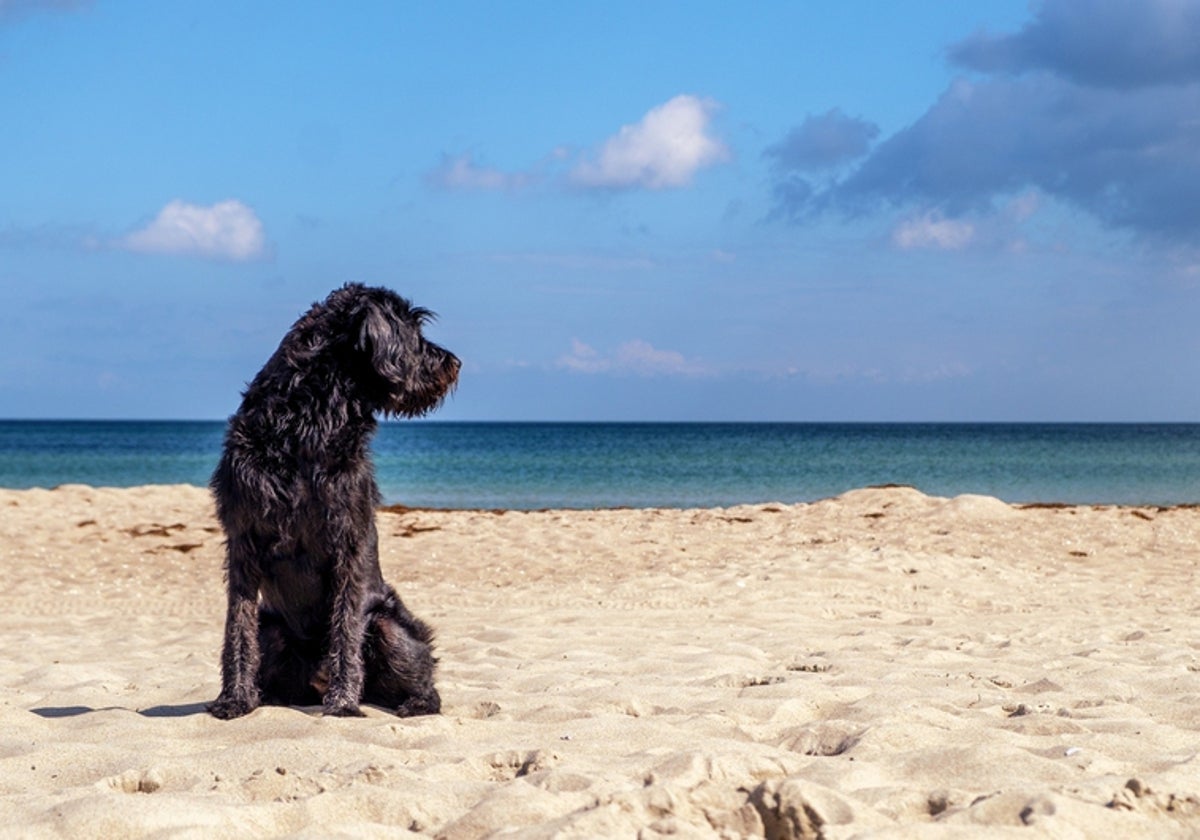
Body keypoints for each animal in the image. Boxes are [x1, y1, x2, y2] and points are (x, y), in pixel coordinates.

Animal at [207, 285, 458, 720]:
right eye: (412, 330)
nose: (454, 363)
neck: (307, 421)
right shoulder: (243, 542)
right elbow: (236, 629)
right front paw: (234, 698)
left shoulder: (348, 541)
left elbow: (345, 626)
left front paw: (342, 702)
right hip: (272, 628)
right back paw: (265, 696)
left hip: (389, 626)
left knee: (426, 683)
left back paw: (412, 702)